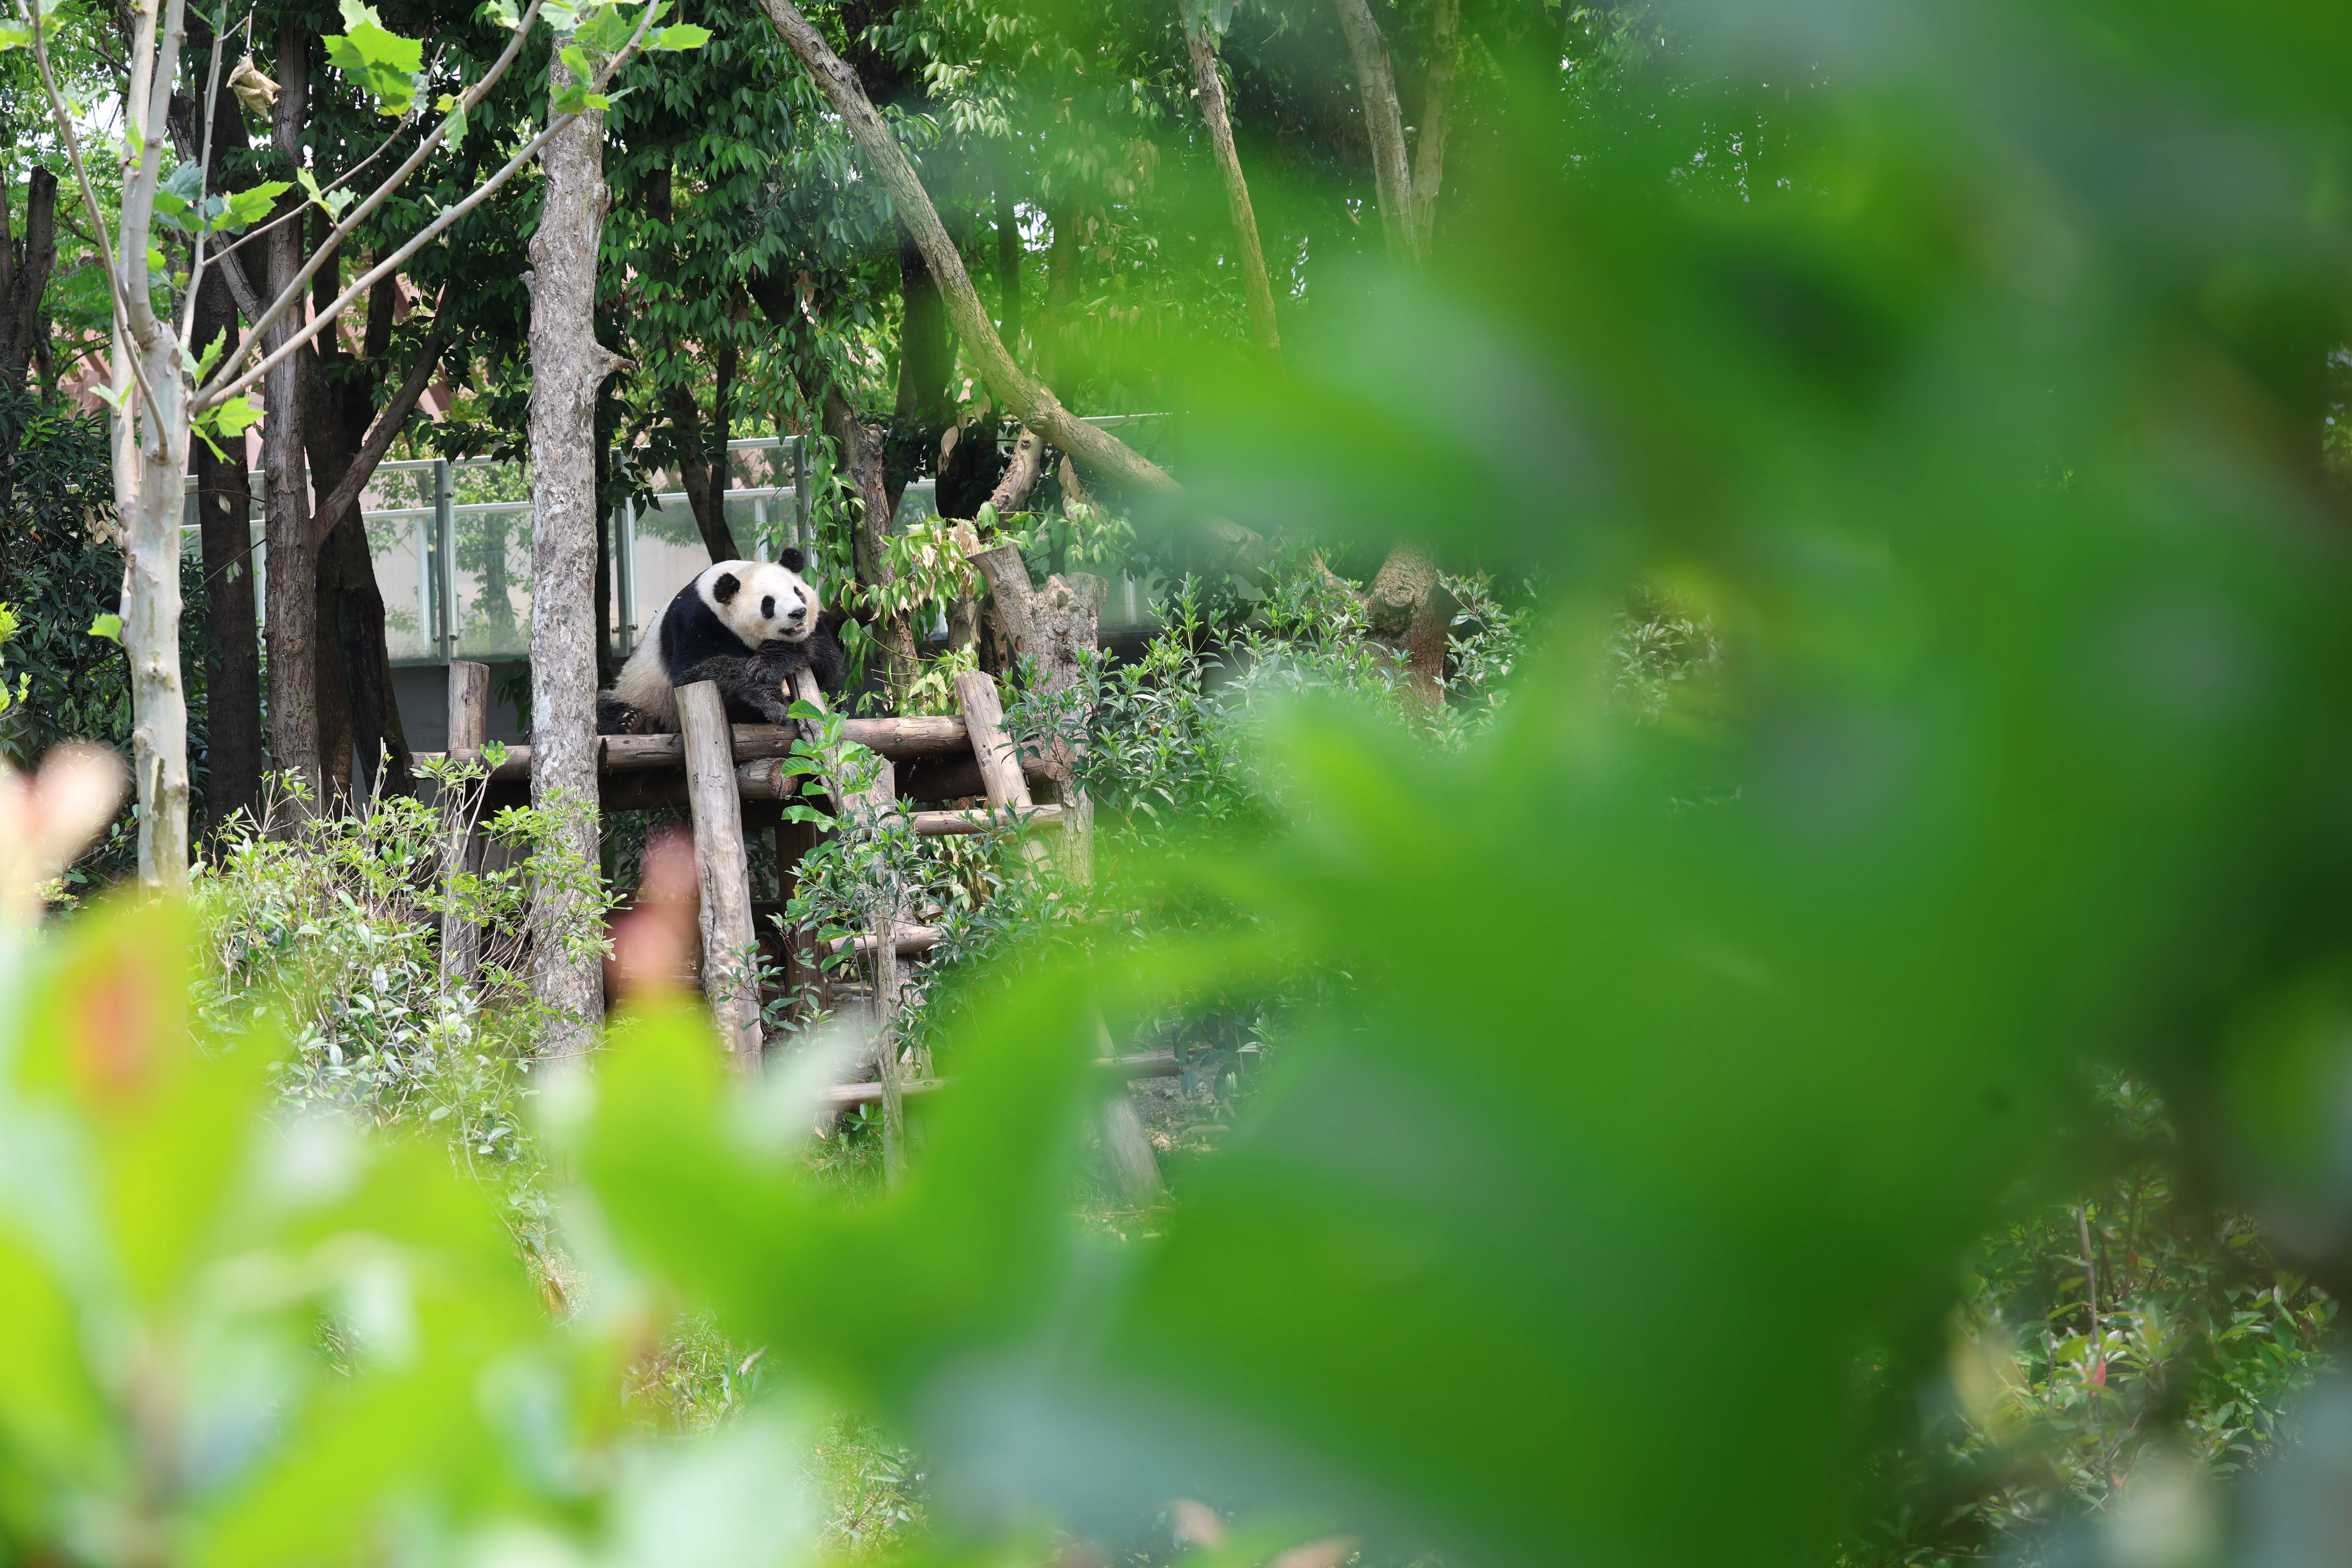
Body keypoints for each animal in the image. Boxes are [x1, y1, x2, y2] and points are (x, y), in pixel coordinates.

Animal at [596, 553, 845, 735]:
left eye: (797, 592)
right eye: (769, 603)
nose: (798, 613)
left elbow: (827, 664)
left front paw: (770, 662)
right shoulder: (693, 622)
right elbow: (695, 673)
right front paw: (773, 701)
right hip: (642, 694)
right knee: (603, 707)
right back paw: (632, 722)